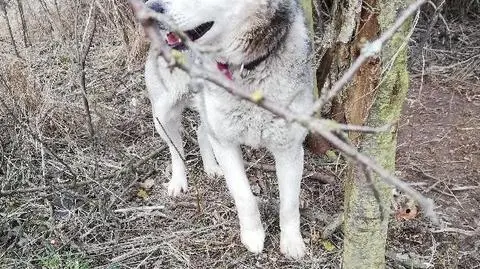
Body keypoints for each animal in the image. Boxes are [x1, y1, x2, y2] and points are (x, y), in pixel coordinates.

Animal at [142, 0, 316, 258]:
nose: (150, 9)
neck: (246, 68)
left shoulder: (289, 149)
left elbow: (289, 204)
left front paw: (292, 242)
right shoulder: (226, 143)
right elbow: (245, 197)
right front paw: (253, 236)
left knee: (201, 132)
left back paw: (212, 168)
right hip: (163, 114)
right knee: (175, 147)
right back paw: (178, 181)